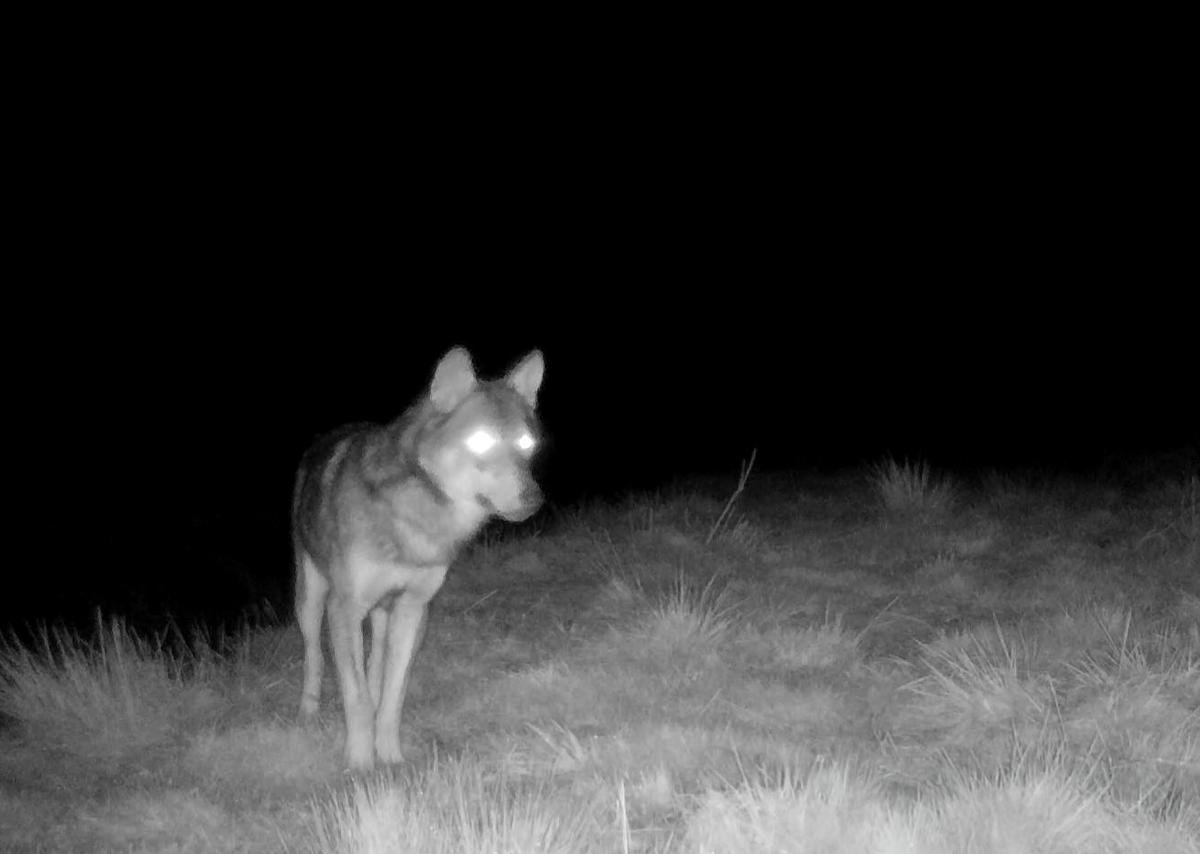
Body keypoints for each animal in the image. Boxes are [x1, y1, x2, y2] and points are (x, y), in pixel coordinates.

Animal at [291, 347, 545, 769]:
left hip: (384, 613)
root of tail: (327, 436)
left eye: (526, 443)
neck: (418, 517)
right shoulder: (344, 608)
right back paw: (307, 711)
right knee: (314, 657)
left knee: (375, 665)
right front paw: (360, 764)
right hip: (311, 602)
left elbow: (392, 697)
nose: (534, 500)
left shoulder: (414, 608)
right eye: (480, 440)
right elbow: (357, 699)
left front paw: (391, 757)